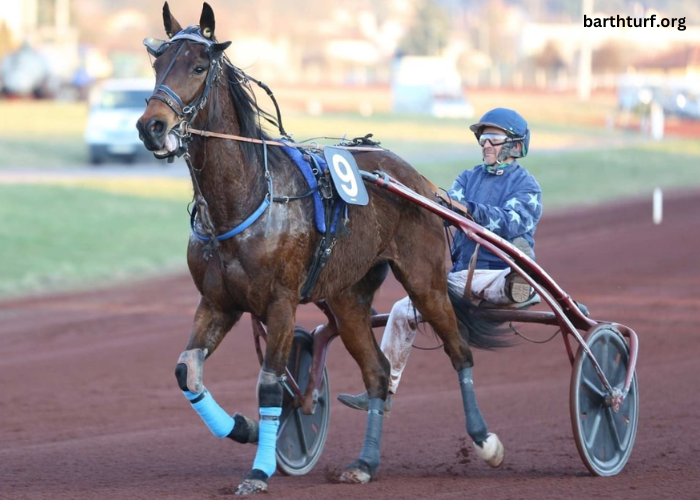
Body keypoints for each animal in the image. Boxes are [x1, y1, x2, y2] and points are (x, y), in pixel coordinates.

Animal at [137, 1, 506, 494]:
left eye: (198, 66)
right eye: (157, 64)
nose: (151, 126)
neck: (246, 197)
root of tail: (418, 182)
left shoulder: (280, 302)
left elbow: (271, 384)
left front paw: (258, 471)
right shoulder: (218, 302)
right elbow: (187, 371)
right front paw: (244, 428)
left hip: (425, 281)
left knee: (459, 351)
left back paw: (485, 440)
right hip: (348, 298)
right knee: (377, 373)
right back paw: (365, 463)